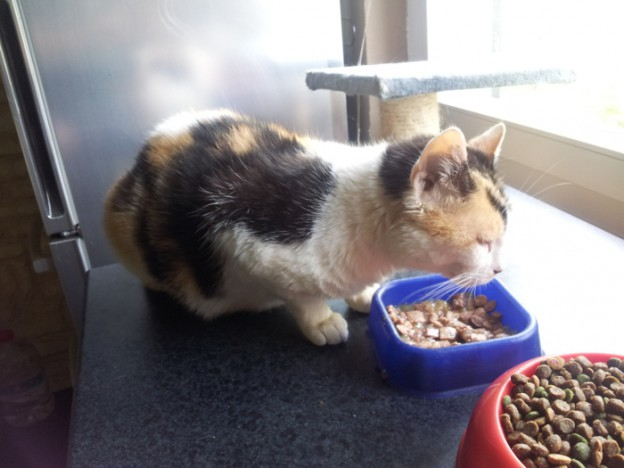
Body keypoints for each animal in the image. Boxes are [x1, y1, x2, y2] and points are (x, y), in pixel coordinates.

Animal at [104, 109, 508, 346]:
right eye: (483, 242)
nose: (499, 269)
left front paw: (364, 295)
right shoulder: (242, 236)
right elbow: (300, 294)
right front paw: (323, 321)